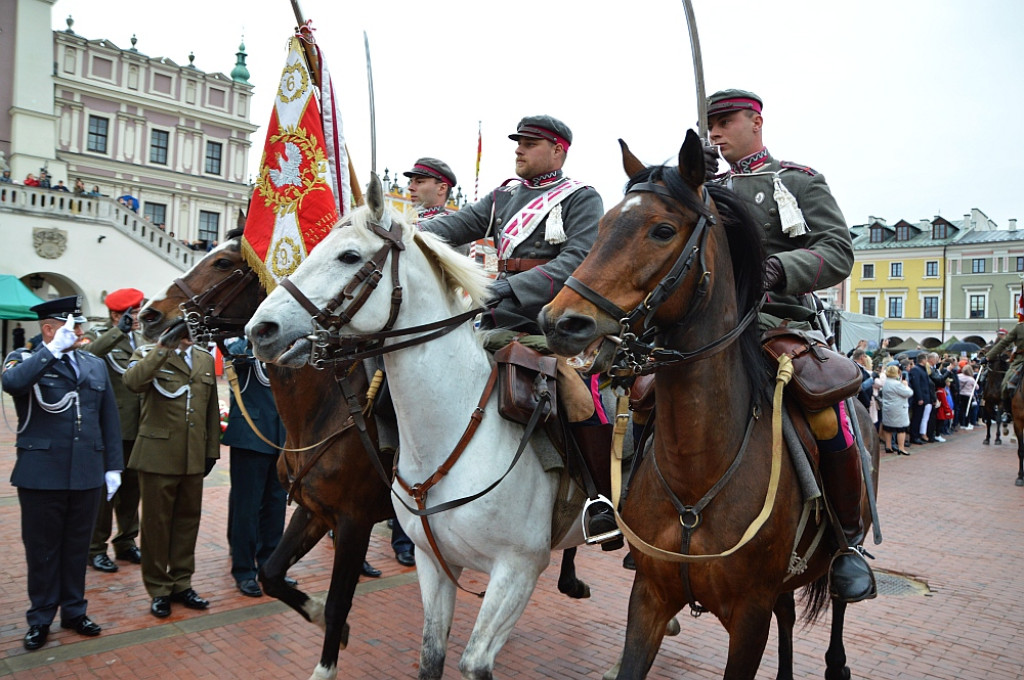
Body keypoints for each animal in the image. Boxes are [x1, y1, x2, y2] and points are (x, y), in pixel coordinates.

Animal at [137, 228, 593, 680]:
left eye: (223, 263)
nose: (149, 315)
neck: (326, 409)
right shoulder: (315, 510)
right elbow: (271, 573)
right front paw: (319, 616)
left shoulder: (352, 519)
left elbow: (339, 602)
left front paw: (328, 652)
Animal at [242, 175, 598, 680]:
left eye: (349, 256)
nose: (261, 330)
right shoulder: (422, 557)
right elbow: (428, 654)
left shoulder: (517, 569)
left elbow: (465, 658)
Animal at [540, 129, 876, 680]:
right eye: (604, 224)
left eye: (662, 230)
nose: (560, 321)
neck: (697, 473)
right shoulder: (650, 597)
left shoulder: (749, 616)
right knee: (789, 614)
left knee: (838, 605)